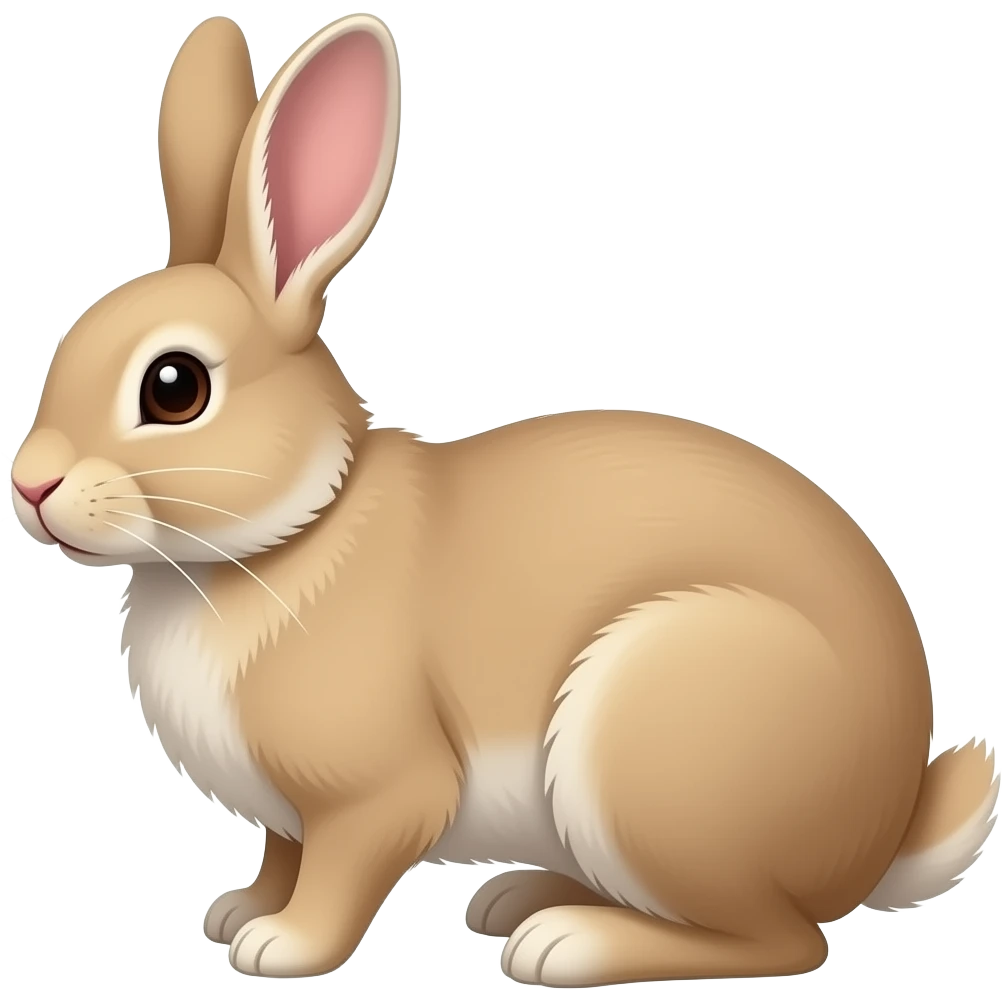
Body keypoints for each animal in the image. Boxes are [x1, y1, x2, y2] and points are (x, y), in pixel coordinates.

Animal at [9, 12, 999, 988]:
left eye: (174, 388)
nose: (31, 484)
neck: (290, 532)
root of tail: (882, 832)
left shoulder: (375, 795)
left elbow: (340, 872)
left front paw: (281, 946)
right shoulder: (285, 816)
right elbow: (282, 856)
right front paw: (239, 911)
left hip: (648, 749)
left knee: (783, 941)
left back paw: (564, 943)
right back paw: (519, 898)